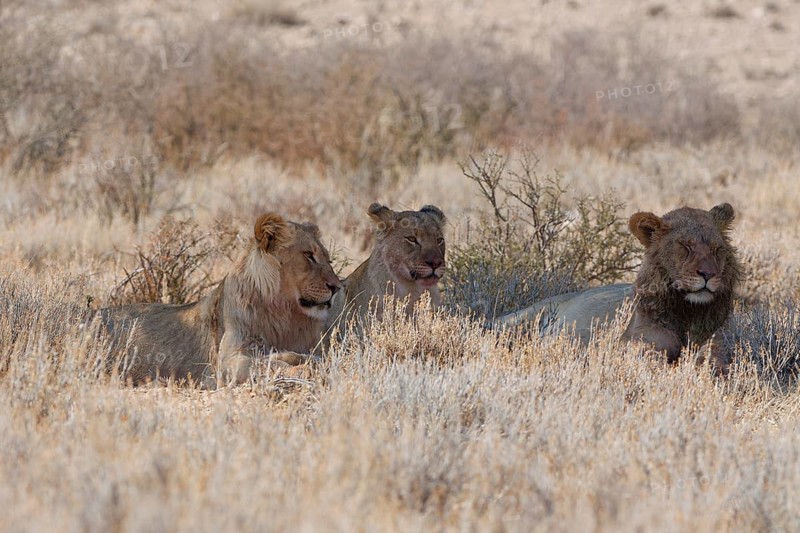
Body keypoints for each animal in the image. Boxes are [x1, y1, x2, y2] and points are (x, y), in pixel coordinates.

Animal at [98, 213, 342, 388]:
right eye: (309, 256)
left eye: (328, 259)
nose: (337, 287)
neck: (284, 313)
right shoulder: (226, 362)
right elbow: (264, 364)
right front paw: (300, 369)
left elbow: (289, 356)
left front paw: (309, 362)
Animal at [494, 203, 742, 372]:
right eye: (685, 246)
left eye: (717, 249)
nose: (708, 274)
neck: (688, 312)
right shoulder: (634, 342)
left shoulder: (715, 343)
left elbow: (715, 362)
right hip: (520, 318)